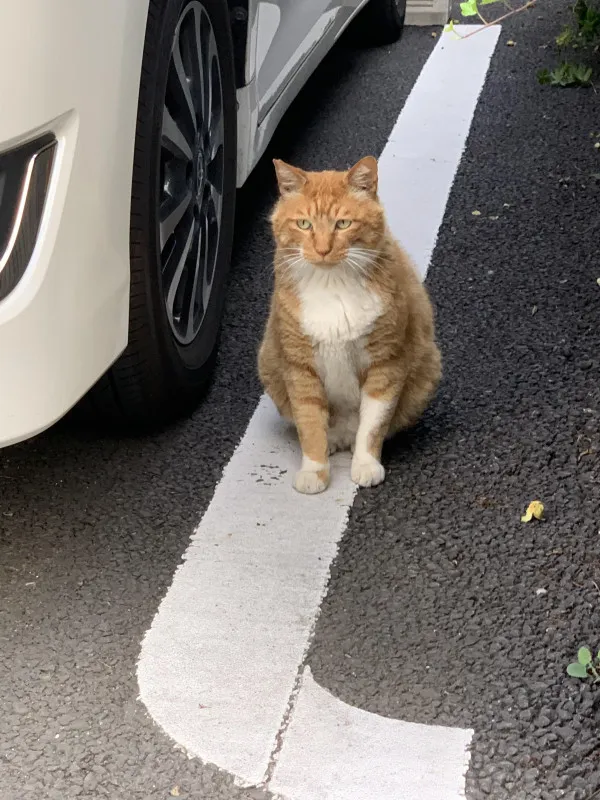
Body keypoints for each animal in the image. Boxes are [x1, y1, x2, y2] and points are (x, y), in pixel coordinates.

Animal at [258, 155, 440, 494]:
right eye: (304, 224)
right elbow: (309, 423)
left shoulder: (386, 361)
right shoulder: (300, 366)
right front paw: (314, 472)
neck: (332, 285)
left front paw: (366, 464)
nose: (322, 249)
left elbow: (373, 423)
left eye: (343, 224)